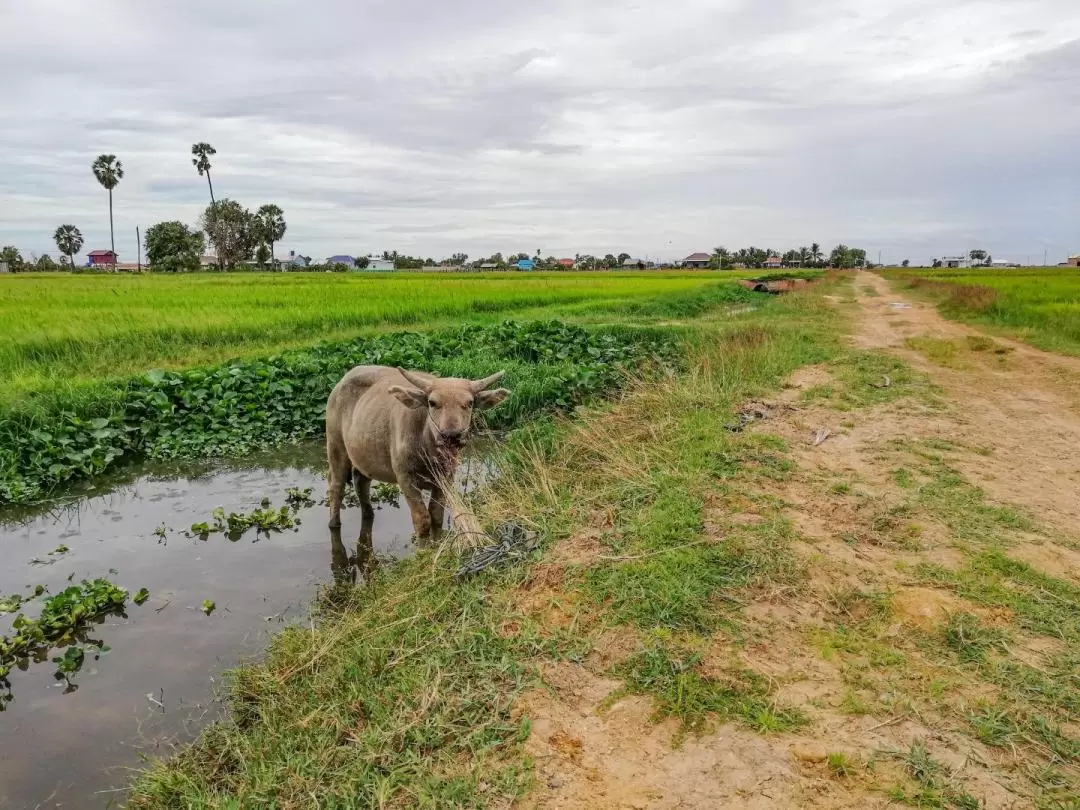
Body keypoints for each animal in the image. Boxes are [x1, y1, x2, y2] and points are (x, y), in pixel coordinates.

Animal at [324, 371, 509, 542]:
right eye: (432, 403)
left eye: (469, 403)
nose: (452, 435)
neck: (429, 451)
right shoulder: (405, 478)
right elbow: (422, 519)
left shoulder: (446, 478)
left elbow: (436, 515)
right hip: (335, 445)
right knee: (336, 487)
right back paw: (334, 524)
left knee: (361, 482)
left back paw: (369, 514)